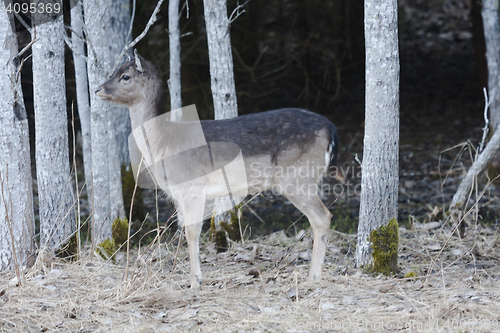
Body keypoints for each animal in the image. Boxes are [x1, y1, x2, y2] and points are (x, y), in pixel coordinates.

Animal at [94, 53, 340, 286]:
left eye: (125, 76)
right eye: (114, 71)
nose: (98, 89)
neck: (163, 143)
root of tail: (331, 129)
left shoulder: (192, 186)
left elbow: (192, 232)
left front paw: (195, 281)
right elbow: (183, 230)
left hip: (297, 177)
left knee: (322, 216)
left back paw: (313, 276)